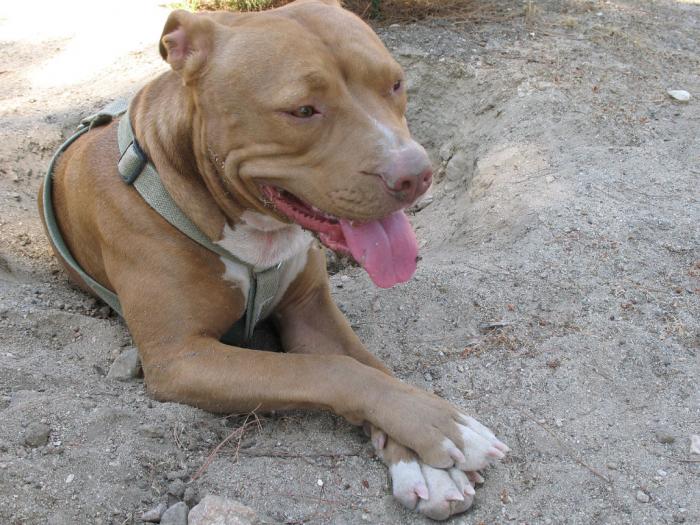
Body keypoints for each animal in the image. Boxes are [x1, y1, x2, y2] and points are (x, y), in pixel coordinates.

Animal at [40, 0, 508, 519]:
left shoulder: (311, 311)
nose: (416, 174)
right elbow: (329, 369)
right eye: (303, 110)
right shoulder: (181, 358)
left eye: (395, 84)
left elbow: (370, 364)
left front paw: (427, 456)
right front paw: (439, 428)